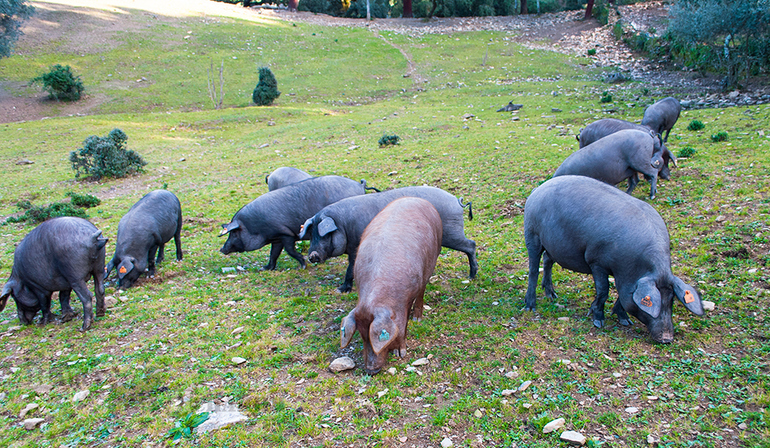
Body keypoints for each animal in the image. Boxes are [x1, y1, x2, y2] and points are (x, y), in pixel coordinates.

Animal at [340, 198, 440, 376]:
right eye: (361, 335)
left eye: (377, 336)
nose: (370, 370)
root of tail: (415, 198)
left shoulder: (407, 298)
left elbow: (403, 325)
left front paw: (400, 353)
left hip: (431, 261)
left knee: (422, 291)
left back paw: (417, 318)